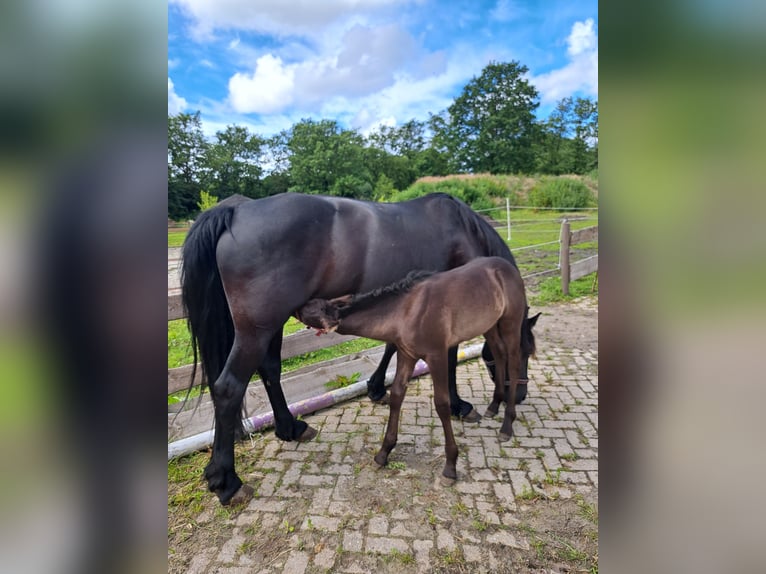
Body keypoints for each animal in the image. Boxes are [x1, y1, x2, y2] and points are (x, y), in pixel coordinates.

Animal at [296, 258, 536, 486]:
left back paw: (507, 425)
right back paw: (494, 405)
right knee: (499, 354)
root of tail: (508, 267)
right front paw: (383, 453)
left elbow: (441, 404)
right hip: (490, 325)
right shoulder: (406, 355)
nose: (294, 307)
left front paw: (450, 466)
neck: (407, 311)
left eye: (312, 310)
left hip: (510, 323)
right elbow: (397, 395)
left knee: (513, 362)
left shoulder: (437, 356)